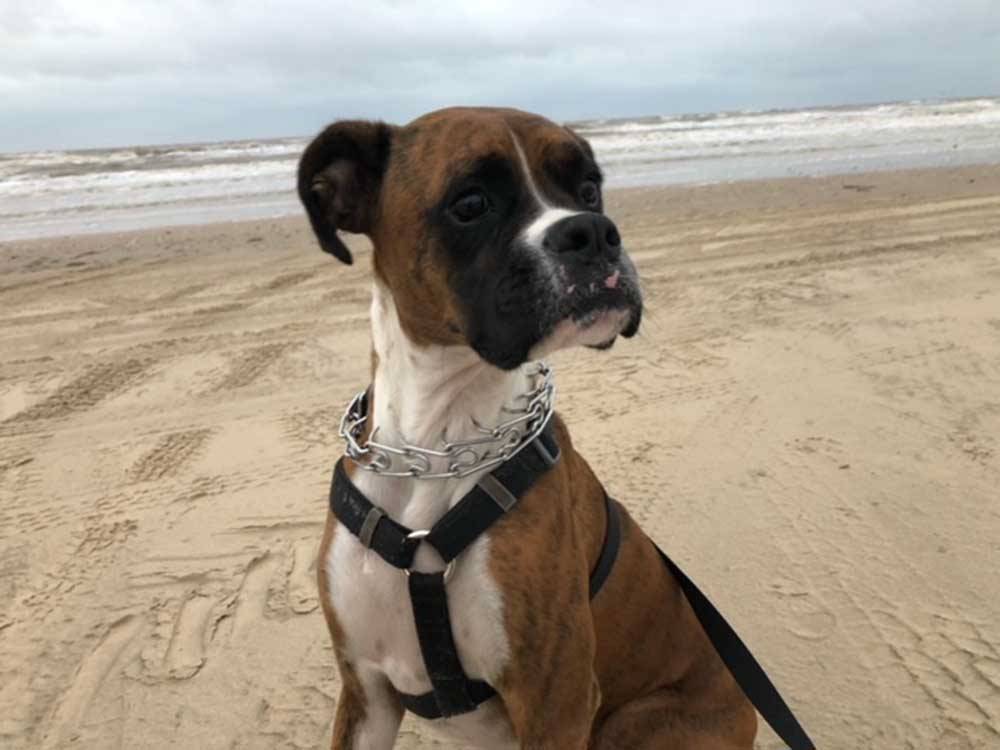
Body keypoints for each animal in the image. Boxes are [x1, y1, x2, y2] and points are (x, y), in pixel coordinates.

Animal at [298, 107, 764, 750]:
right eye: (471, 203)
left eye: (588, 189)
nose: (593, 230)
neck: (439, 444)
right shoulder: (367, 692)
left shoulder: (556, 701)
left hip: (634, 725)